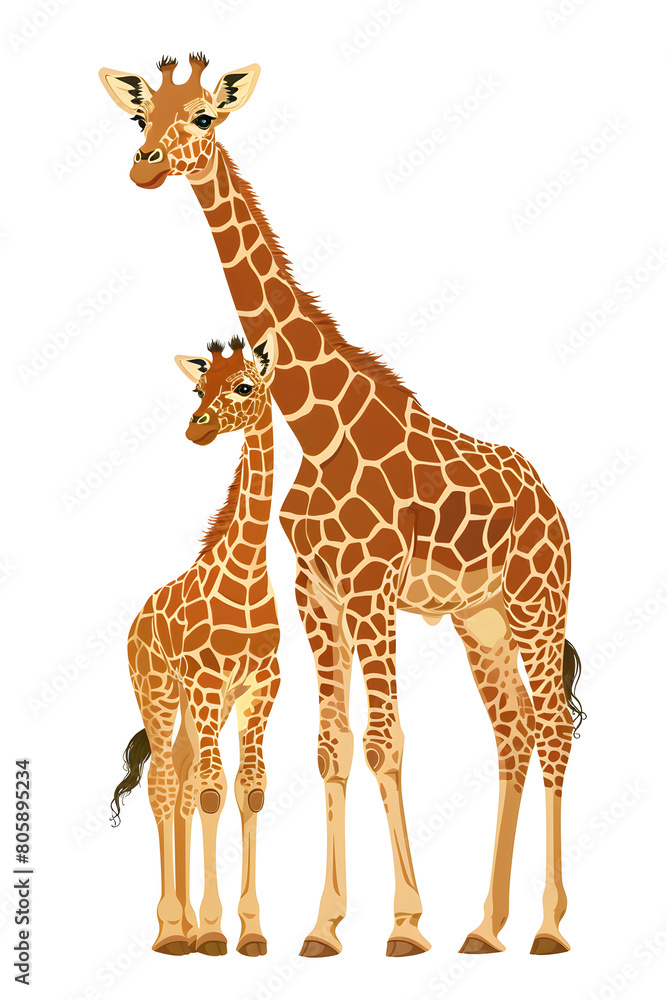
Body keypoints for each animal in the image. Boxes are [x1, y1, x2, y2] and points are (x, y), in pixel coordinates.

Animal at [109, 334, 281, 957]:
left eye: (245, 386)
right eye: (197, 390)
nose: (196, 428)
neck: (248, 572)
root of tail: (136, 623)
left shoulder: (258, 687)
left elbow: (249, 791)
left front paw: (250, 932)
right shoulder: (207, 683)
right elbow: (211, 792)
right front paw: (211, 931)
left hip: (195, 705)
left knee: (179, 782)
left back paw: (178, 925)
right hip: (159, 693)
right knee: (164, 785)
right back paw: (170, 931)